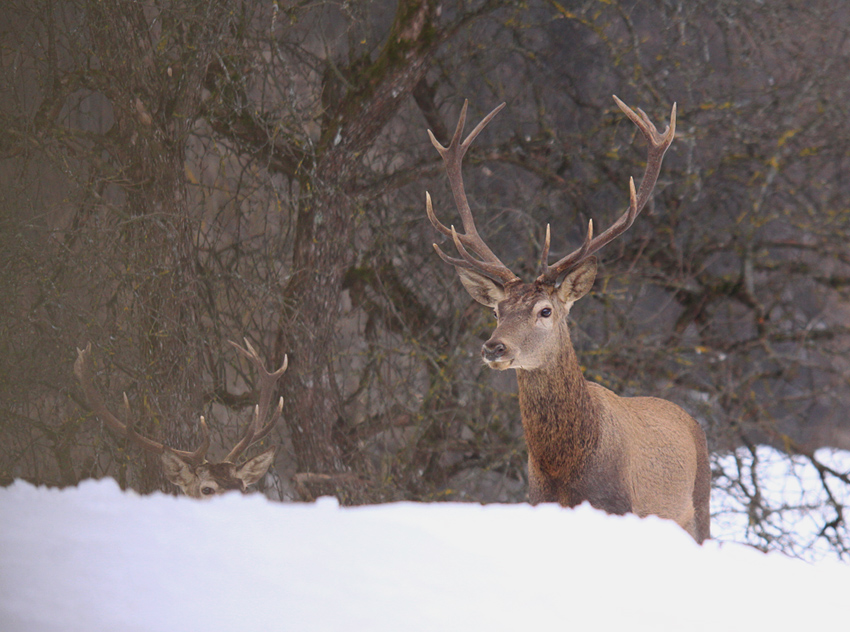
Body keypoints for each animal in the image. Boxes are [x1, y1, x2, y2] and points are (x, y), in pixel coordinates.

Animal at [424, 96, 708, 540]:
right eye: (497, 310)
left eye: (545, 310)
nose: (494, 347)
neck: (564, 470)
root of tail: (693, 421)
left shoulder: (618, 508)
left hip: (700, 507)